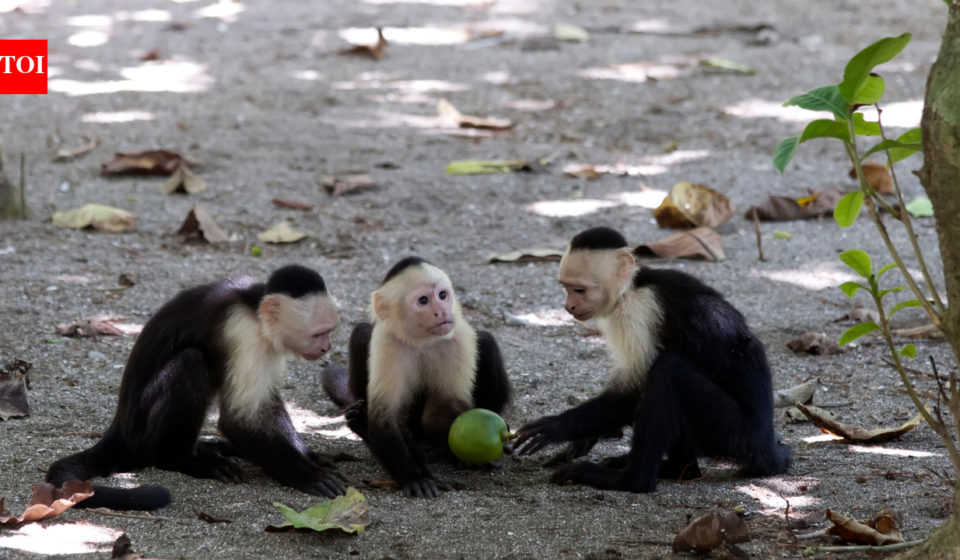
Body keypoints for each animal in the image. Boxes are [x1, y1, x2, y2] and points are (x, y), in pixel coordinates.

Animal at [46, 265, 351, 510]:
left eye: (329, 332)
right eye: (319, 333)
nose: (327, 347)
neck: (253, 309)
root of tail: (119, 428)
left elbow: (265, 406)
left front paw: (310, 457)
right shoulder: (244, 333)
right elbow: (239, 420)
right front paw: (307, 475)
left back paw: (211, 449)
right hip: (141, 433)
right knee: (191, 362)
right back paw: (184, 461)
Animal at [322, 257, 512, 499]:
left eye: (442, 295)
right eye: (423, 301)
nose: (441, 312)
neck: (422, 340)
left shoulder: (457, 341)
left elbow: (440, 412)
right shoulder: (388, 341)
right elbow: (387, 418)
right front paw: (416, 477)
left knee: (486, 342)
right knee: (361, 332)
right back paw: (361, 425)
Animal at [514, 227, 790, 493]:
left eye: (579, 289)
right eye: (566, 287)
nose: (568, 306)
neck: (632, 287)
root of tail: (766, 450)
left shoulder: (637, 311)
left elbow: (634, 391)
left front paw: (557, 427)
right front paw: (583, 439)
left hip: (734, 431)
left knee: (670, 370)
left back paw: (631, 480)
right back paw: (676, 469)